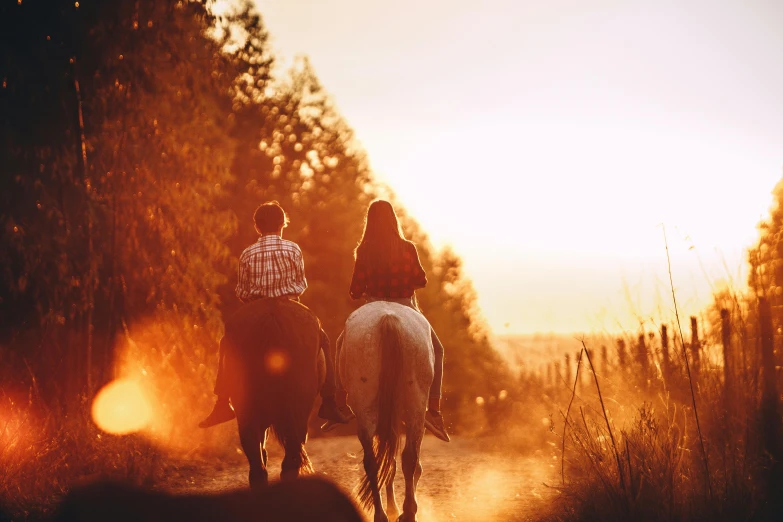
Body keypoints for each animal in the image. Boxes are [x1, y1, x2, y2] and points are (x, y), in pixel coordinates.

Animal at [338, 298, 434, 520]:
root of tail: (388, 319)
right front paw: (396, 508)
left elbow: (389, 461)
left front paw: (393, 508)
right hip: (415, 408)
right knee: (407, 458)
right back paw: (405, 513)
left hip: (369, 412)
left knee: (375, 462)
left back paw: (383, 514)